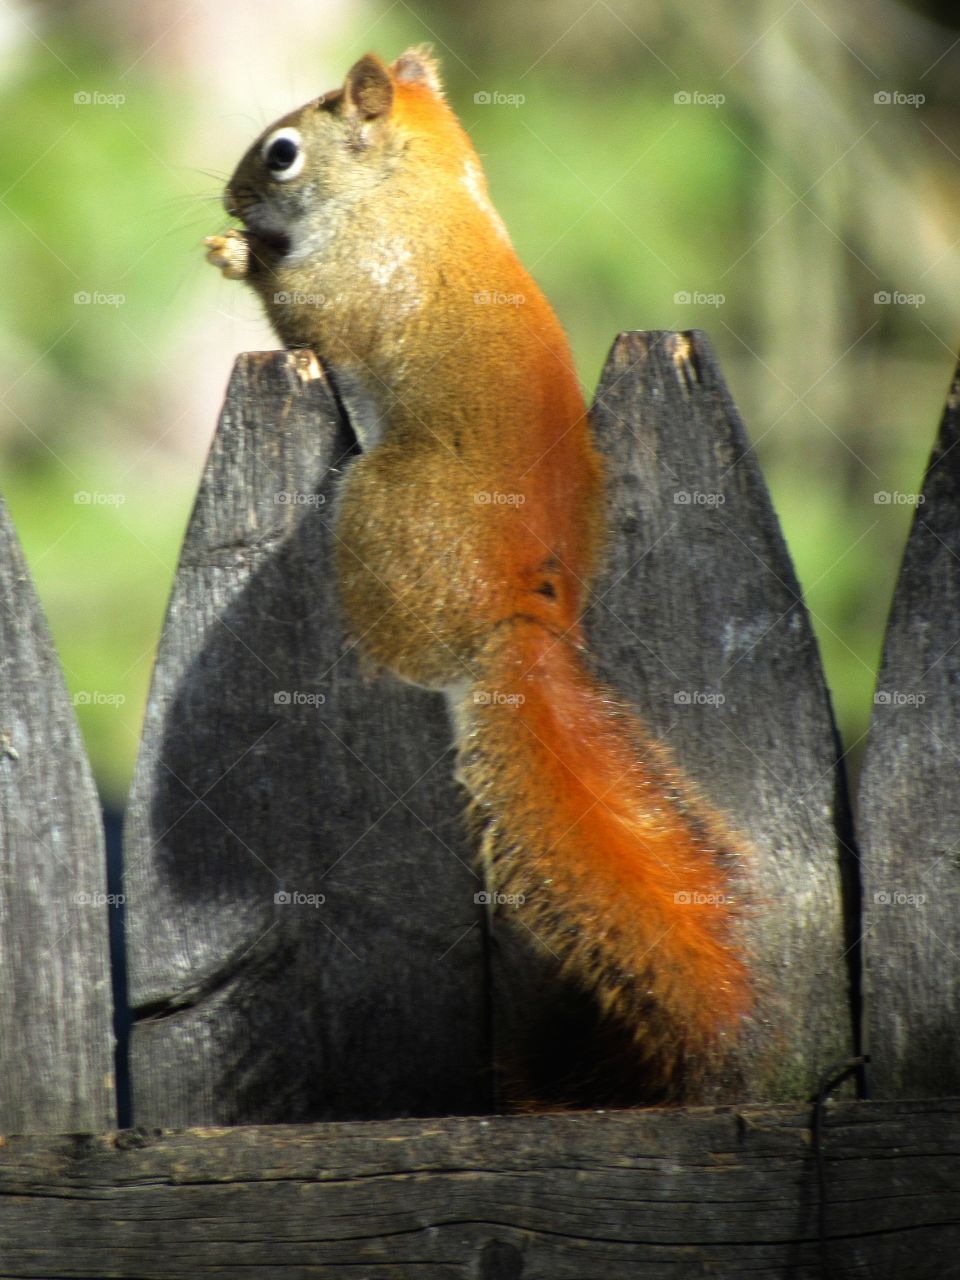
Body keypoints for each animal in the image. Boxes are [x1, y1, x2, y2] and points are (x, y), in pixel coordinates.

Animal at [208, 45, 752, 1095]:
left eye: (282, 153)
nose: (229, 194)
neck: (417, 190)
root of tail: (520, 613)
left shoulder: (352, 282)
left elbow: (303, 313)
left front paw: (240, 257)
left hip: (380, 515)